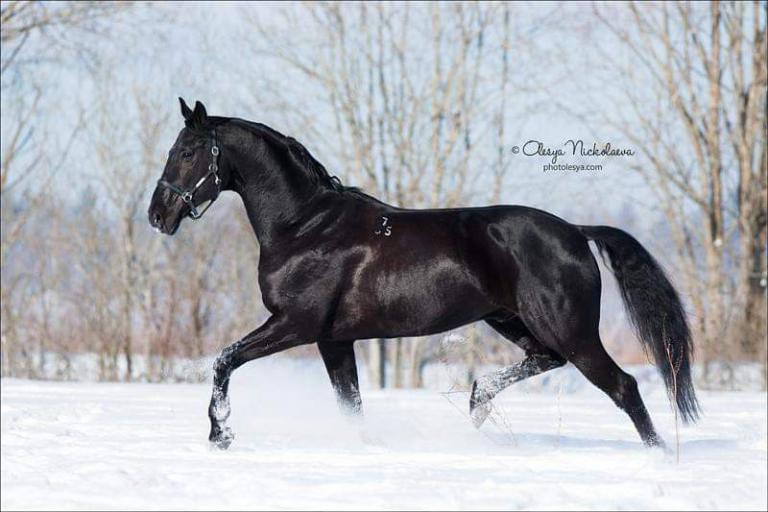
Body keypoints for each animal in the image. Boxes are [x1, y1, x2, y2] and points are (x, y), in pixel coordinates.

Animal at [148, 98, 699, 450]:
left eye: (188, 152)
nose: (158, 215)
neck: (305, 225)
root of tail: (575, 232)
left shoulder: (296, 325)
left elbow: (224, 360)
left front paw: (220, 434)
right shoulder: (333, 339)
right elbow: (351, 403)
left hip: (570, 329)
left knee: (623, 386)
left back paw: (658, 456)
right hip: (511, 320)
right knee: (544, 362)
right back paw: (476, 402)